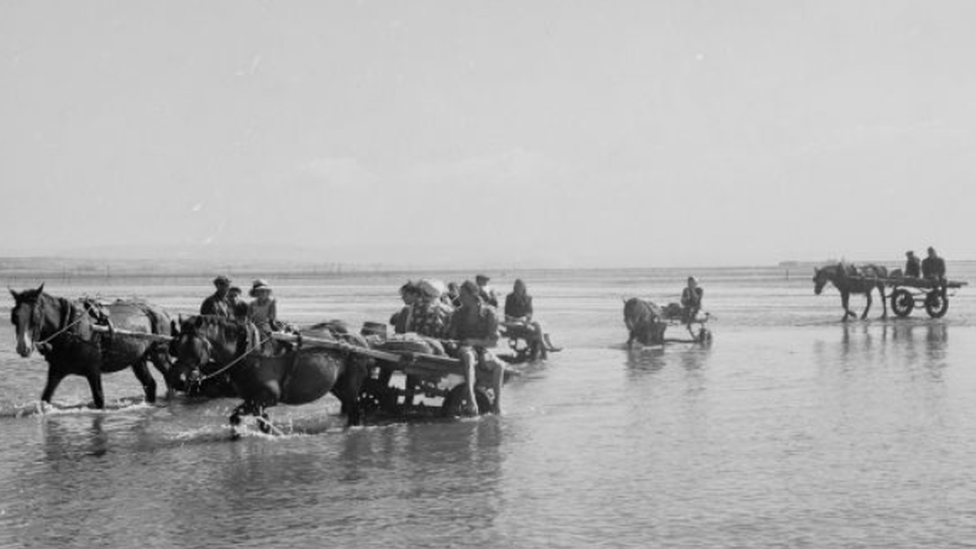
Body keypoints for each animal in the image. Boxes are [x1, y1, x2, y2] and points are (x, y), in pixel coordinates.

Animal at [9, 284, 175, 408]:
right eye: (15, 317)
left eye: (35, 316)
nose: (23, 347)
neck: (70, 327)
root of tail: (161, 311)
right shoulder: (56, 370)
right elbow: (45, 398)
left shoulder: (93, 370)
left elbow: (99, 400)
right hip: (138, 360)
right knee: (150, 384)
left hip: (159, 354)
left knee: (171, 375)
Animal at [170, 314, 368, 434]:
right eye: (177, 344)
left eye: (192, 346)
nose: (177, 379)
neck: (250, 352)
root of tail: (357, 339)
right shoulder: (254, 400)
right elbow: (248, 420)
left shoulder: (267, 397)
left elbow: (244, 417)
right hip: (338, 387)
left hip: (350, 386)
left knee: (355, 412)